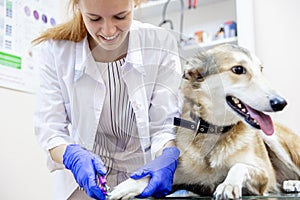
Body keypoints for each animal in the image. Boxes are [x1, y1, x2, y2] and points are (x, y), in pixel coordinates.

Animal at [108, 43, 300, 198]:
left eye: (261, 69)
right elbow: (154, 175)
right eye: (238, 69)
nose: (281, 103)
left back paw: (293, 183)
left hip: (273, 139)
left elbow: (239, 166)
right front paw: (125, 186)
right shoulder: (179, 177)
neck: (214, 131)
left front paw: (228, 185)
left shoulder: (263, 175)